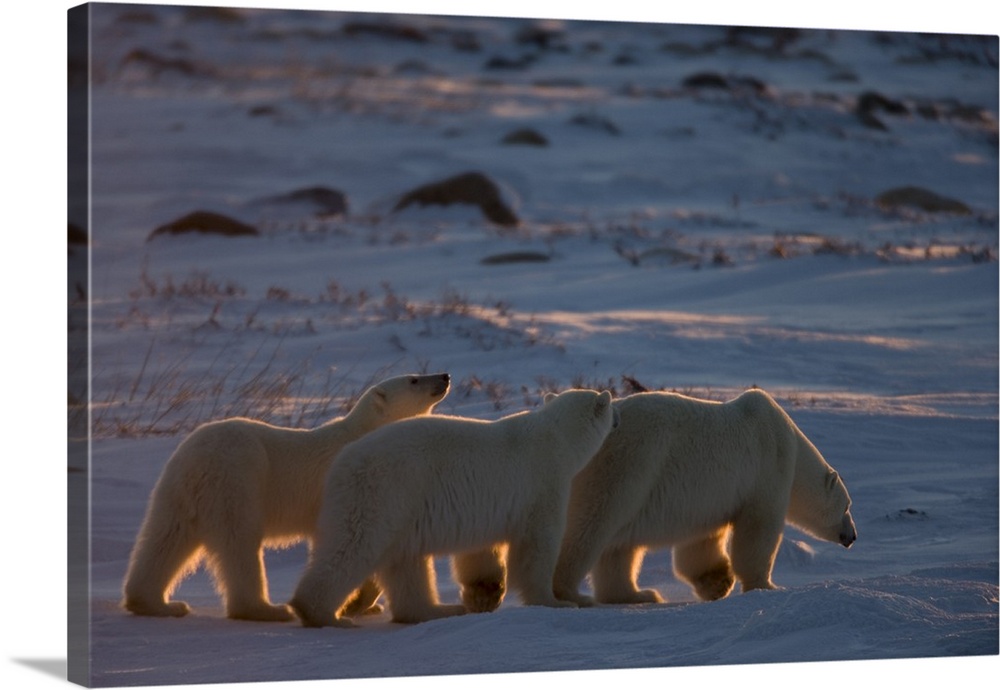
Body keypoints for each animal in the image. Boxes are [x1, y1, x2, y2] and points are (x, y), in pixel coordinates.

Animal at [123, 374, 452, 620]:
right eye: (414, 379)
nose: (444, 376)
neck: (365, 430)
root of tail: (197, 458)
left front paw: (366, 604)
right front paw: (359, 602)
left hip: (177, 490)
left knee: (166, 538)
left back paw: (155, 603)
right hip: (237, 479)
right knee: (239, 541)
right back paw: (266, 609)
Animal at [286, 388, 620, 624]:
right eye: (611, 407)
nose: (616, 415)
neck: (555, 438)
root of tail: (343, 464)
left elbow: (480, 549)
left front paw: (483, 593)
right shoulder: (543, 484)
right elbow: (536, 545)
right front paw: (556, 601)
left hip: (400, 505)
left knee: (404, 562)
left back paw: (438, 609)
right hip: (386, 493)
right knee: (354, 546)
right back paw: (319, 612)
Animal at [458, 388, 856, 608]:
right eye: (848, 507)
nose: (852, 536)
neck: (789, 440)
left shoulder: (709, 497)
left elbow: (701, 541)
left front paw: (717, 582)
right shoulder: (766, 470)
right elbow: (758, 531)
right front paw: (765, 585)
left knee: (617, 547)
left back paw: (638, 594)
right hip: (630, 465)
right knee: (593, 526)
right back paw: (569, 591)